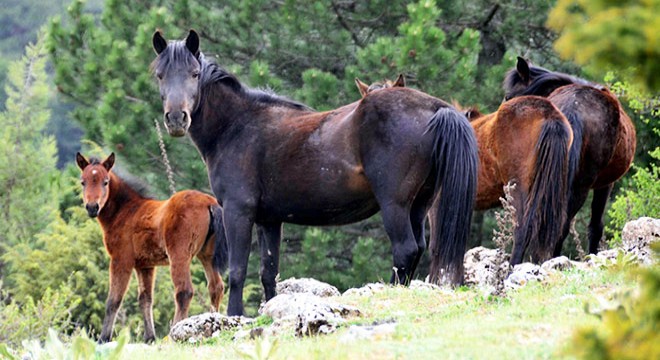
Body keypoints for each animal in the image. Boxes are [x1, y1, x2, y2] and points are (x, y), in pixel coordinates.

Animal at [75, 153, 227, 344]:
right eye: (83, 182)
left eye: (105, 182)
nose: (92, 207)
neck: (127, 211)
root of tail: (209, 202)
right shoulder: (145, 265)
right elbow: (145, 299)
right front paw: (149, 337)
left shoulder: (121, 260)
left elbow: (114, 300)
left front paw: (103, 338)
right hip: (206, 255)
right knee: (216, 287)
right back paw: (214, 321)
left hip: (179, 255)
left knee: (184, 291)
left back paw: (175, 332)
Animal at [151, 29, 476, 316]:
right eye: (160, 75)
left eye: (195, 74)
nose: (176, 118)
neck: (237, 127)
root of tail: (435, 108)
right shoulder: (269, 220)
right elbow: (269, 271)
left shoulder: (237, 211)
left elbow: (238, 270)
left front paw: (234, 316)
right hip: (419, 204)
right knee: (418, 247)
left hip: (394, 205)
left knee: (405, 249)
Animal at [502, 56, 636, 255]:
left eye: (509, 97)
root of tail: (574, 105)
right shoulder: (605, 185)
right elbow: (595, 226)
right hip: (580, 186)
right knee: (561, 226)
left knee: (527, 225)